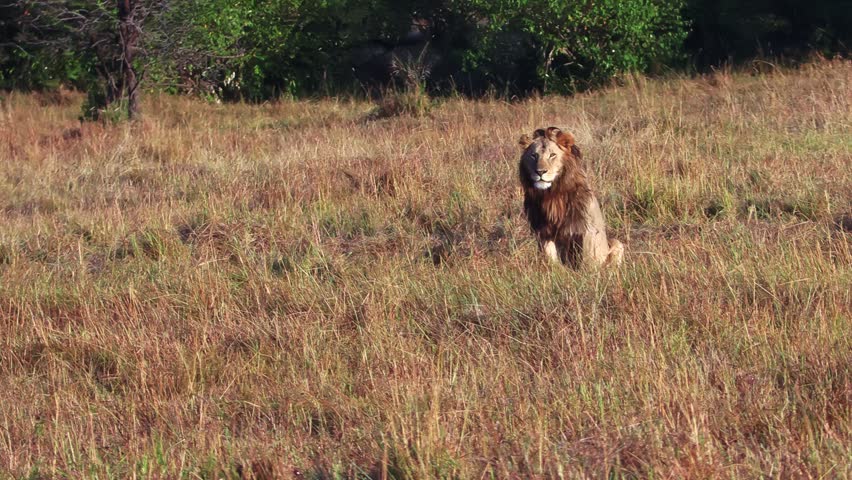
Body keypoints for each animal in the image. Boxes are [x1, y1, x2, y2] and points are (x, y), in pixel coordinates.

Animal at [518, 127, 623, 267]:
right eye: (534, 155)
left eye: (552, 155)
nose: (540, 172)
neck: (551, 194)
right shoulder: (543, 231)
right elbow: (549, 257)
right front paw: (555, 270)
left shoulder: (586, 229)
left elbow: (587, 260)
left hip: (616, 243)